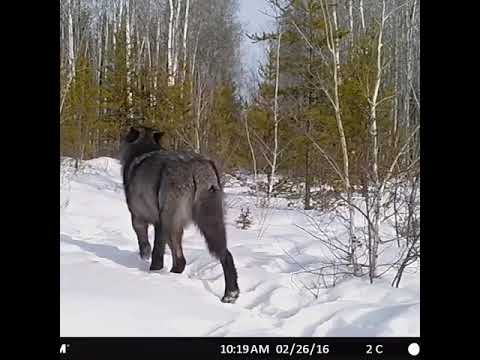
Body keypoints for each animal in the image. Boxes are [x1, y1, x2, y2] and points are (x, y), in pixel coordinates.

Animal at [119, 126, 239, 304]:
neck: (145, 148)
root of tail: (196, 166)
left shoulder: (139, 218)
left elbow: (147, 245)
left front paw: (146, 260)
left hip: (168, 221)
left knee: (169, 257)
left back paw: (160, 274)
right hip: (210, 222)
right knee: (224, 255)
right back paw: (230, 294)